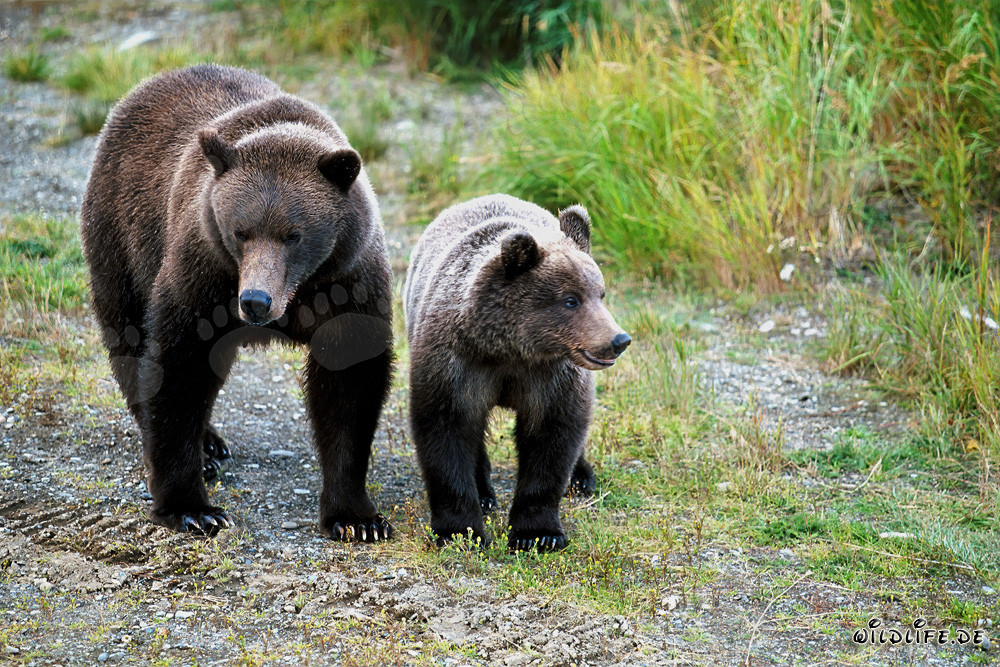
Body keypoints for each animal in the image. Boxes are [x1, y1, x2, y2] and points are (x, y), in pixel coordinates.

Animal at [80, 64, 394, 541]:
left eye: (294, 234)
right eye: (240, 231)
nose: (255, 302)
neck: (299, 293)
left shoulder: (348, 280)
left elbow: (350, 385)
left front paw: (357, 518)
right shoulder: (204, 274)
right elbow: (179, 367)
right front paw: (193, 508)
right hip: (122, 235)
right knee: (130, 337)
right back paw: (204, 448)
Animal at [403, 194, 631, 551]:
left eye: (601, 294)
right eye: (571, 300)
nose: (618, 340)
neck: (511, 350)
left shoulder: (552, 377)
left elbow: (552, 437)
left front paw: (538, 533)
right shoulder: (456, 365)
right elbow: (445, 431)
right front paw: (459, 530)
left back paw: (581, 478)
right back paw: (484, 494)